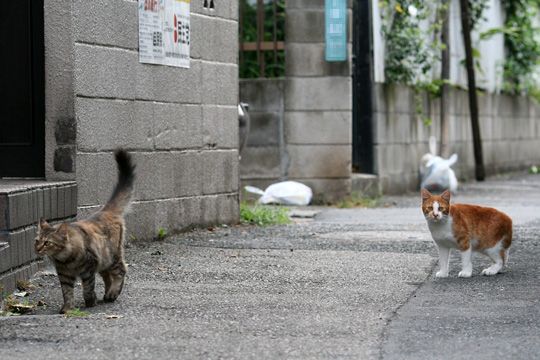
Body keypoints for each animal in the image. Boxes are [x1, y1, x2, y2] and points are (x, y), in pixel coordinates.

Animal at [34, 149, 135, 312]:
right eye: (37, 241)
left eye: (47, 243)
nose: (37, 249)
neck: (65, 259)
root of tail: (105, 211)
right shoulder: (65, 275)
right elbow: (67, 292)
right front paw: (68, 308)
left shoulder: (89, 268)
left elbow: (87, 288)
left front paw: (90, 302)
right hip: (104, 262)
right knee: (108, 276)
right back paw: (107, 294)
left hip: (111, 256)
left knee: (121, 270)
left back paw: (113, 293)